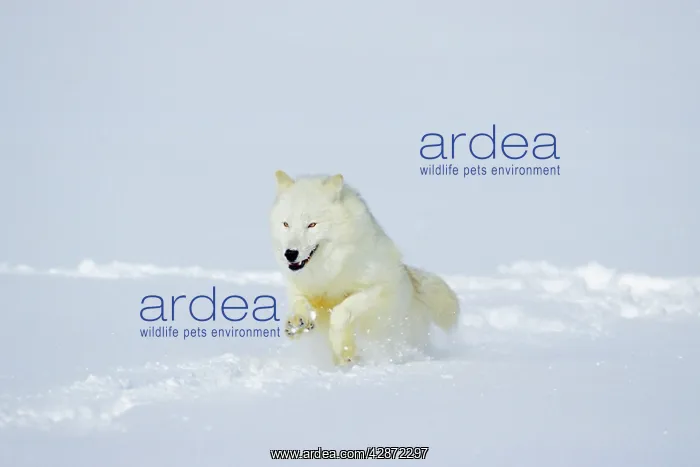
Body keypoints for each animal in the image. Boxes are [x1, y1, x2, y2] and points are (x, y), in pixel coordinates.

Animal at [269, 170, 460, 365]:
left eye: (312, 224)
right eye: (286, 224)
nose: (290, 253)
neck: (331, 273)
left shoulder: (379, 288)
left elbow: (341, 312)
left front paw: (345, 350)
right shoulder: (300, 288)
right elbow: (299, 303)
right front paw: (297, 324)